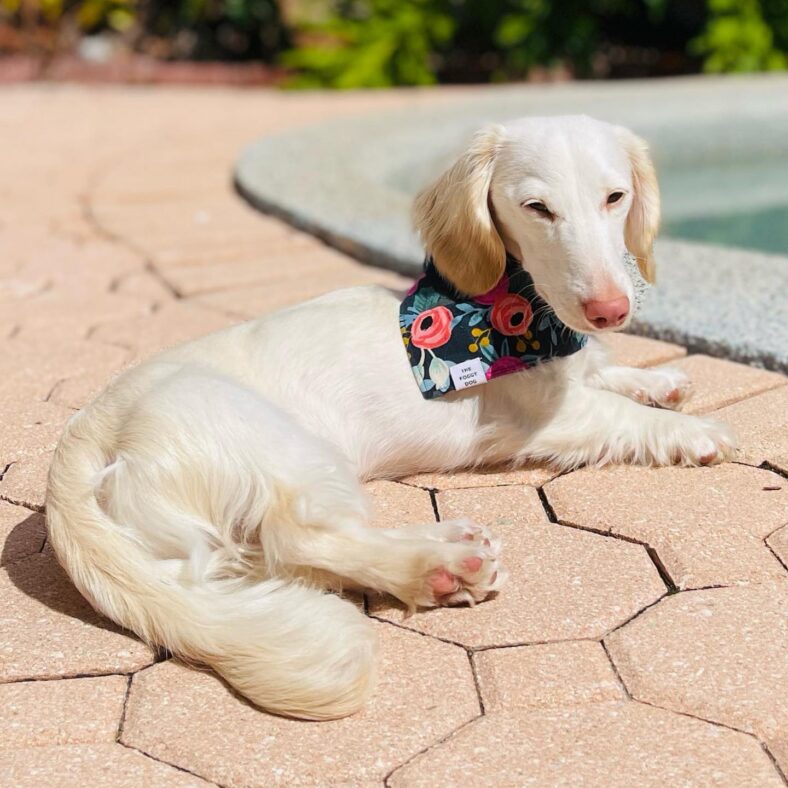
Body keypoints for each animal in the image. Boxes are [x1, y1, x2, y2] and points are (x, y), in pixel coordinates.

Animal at [46, 114, 736, 724]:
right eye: (537, 208)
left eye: (615, 197)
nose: (610, 310)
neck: (511, 313)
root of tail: (84, 437)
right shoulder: (543, 416)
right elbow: (621, 413)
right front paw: (694, 433)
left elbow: (605, 370)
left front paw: (661, 381)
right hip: (289, 448)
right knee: (300, 538)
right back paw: (436, 568)